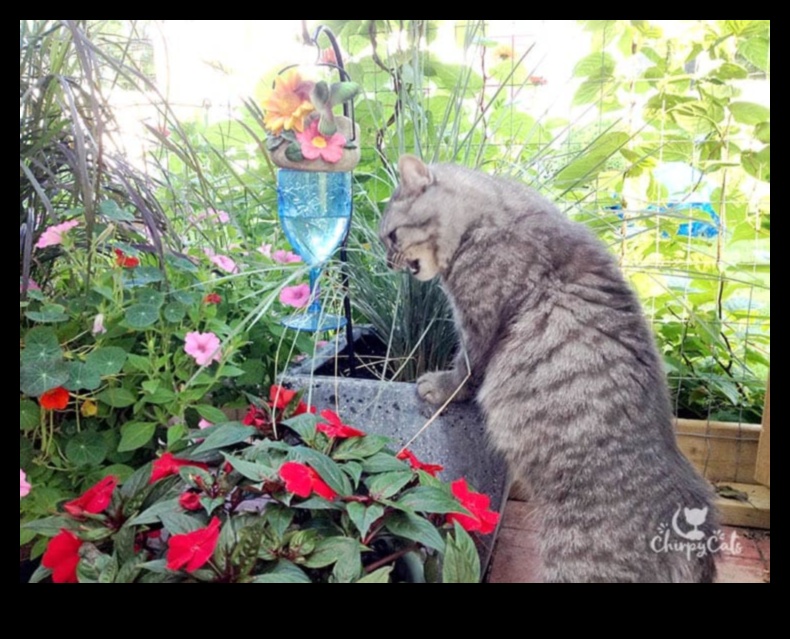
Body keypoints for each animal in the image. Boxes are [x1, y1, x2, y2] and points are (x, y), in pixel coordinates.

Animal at [380, 156, 720, 584]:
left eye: (391, 236)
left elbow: (463, 374)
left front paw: (436, 387)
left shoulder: (480, 326)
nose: (386, 262)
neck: (489, 216)